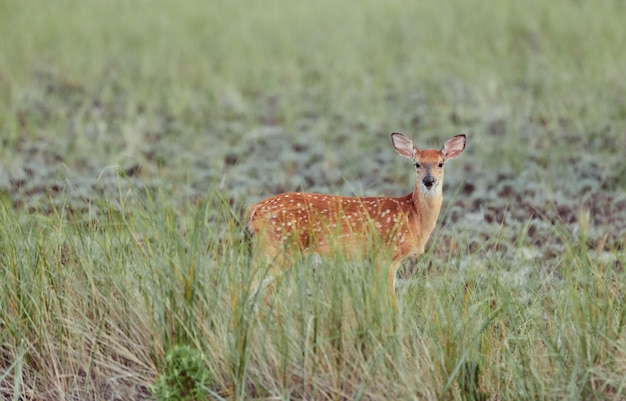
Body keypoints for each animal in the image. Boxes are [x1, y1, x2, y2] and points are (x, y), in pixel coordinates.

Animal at [246, 133, 466, 302]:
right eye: (417, 164)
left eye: (440, 164)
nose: (429, 181)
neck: (414, 215)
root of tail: (254, 209)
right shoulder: (386, 254)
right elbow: (389, 299)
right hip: (278, 247)